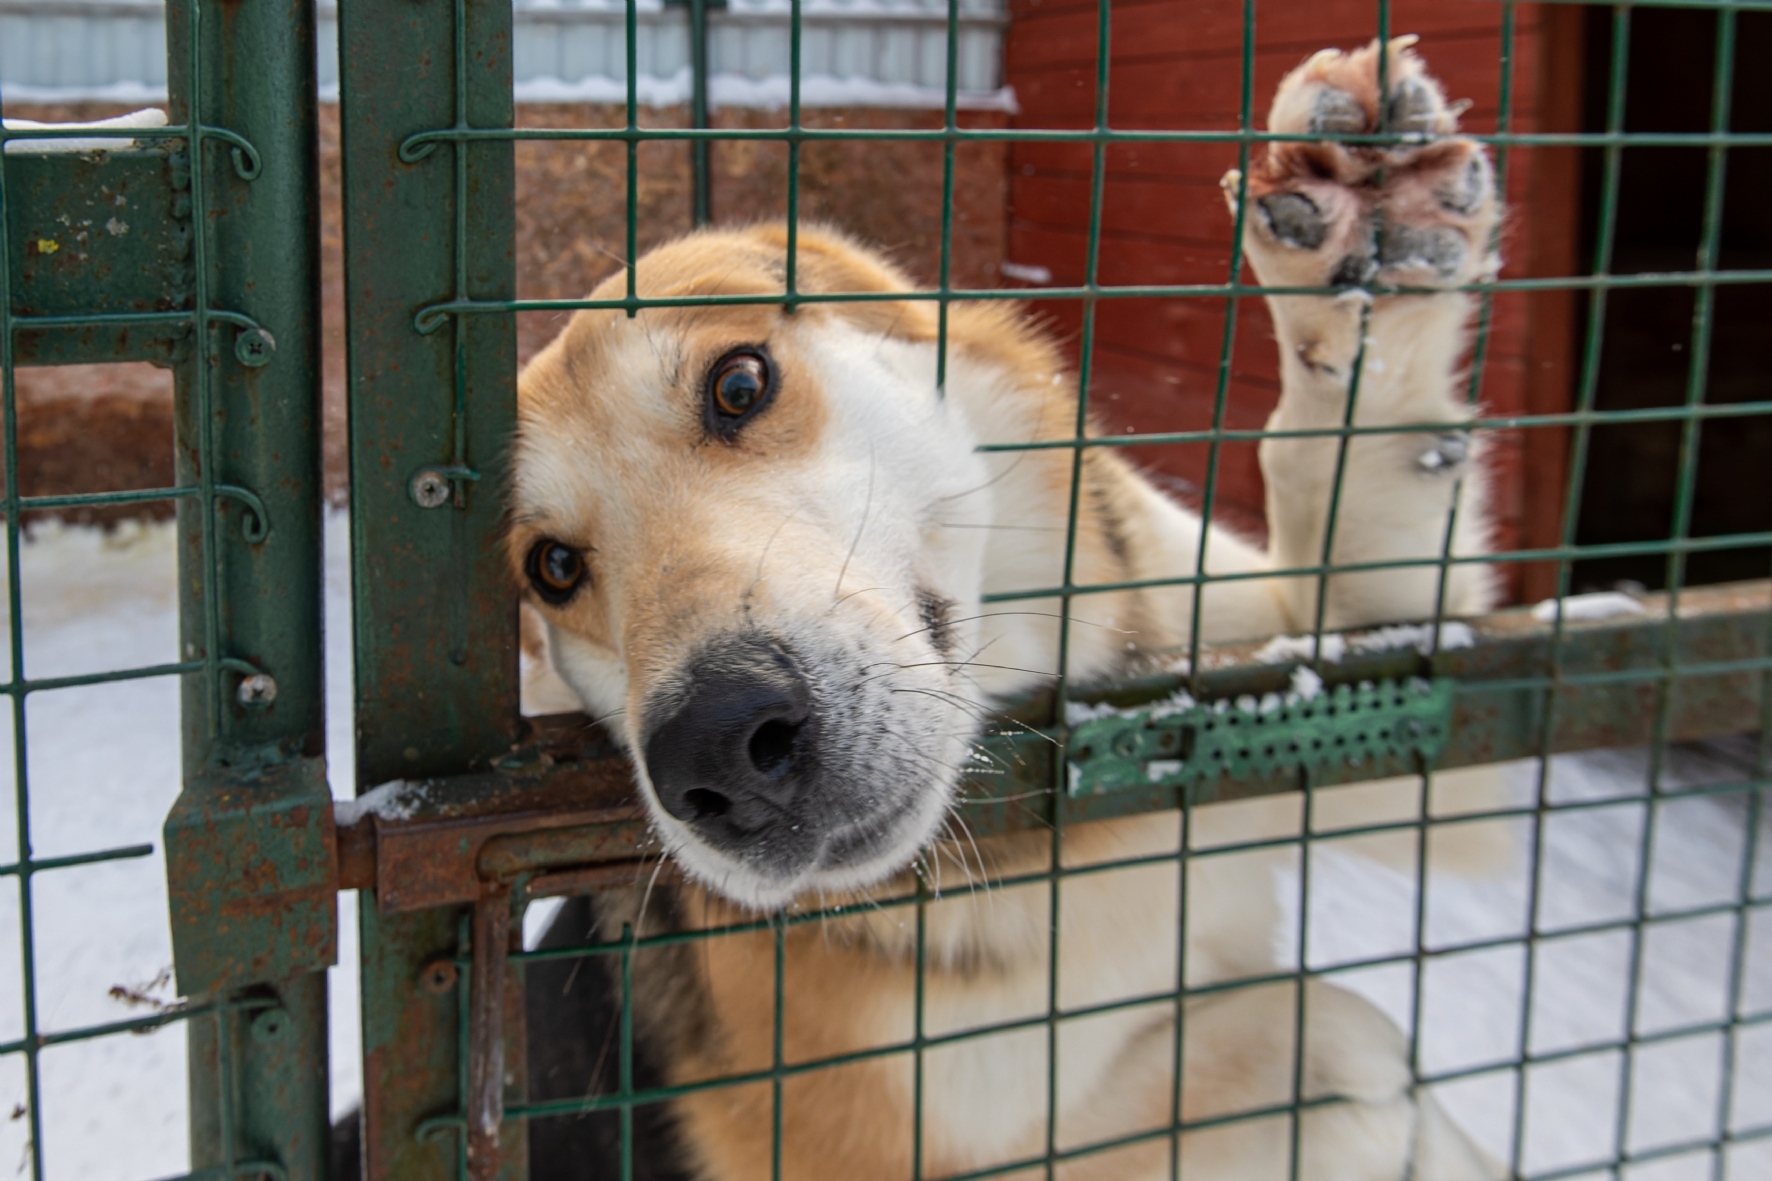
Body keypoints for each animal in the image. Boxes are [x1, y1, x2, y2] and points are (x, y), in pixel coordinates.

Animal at [510, 36, 1509, 1177]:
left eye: (739, 383)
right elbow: (1343, 1045)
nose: (714, 745)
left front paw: (1366, 259)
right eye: (551, 566)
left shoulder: (1394, 727)